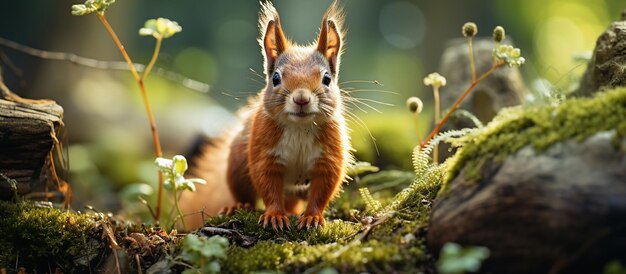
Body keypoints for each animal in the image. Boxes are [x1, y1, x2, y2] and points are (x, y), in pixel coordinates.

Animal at [180, 1, 352, 230]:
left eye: (326, 79)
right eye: (276, 78)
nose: (301, 99)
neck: (300, 127)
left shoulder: (329, 156)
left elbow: (323, 189)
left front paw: (312, 217)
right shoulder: (264, 151)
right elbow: (267, 184)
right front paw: (275, 215)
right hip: (236, 165)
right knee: (244, 194)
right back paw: (237, 206)